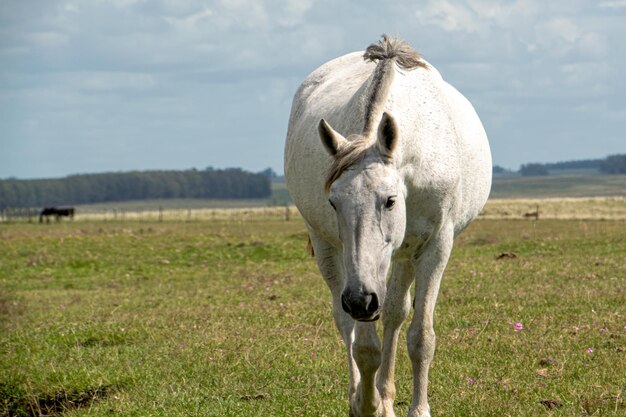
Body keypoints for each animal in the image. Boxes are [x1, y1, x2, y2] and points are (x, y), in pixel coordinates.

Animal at [284, 36, 492, 416]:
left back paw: (387, 393)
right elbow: (365, 346)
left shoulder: (435, 246)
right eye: (334, 202)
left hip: (405, 256)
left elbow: (421, 336)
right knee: (346, 323)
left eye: (390, 200)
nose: (361, 300)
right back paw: (366, 396)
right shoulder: (356, 275)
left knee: (395, 313)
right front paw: (367, 405)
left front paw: (417, 409)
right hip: (330, 252)